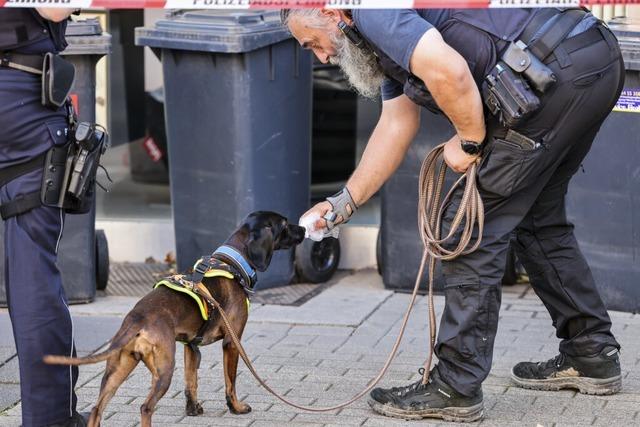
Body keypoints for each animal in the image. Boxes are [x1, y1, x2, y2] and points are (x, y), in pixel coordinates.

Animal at [43, 211, 306, 427]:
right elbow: (230, 382)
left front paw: (193, 409)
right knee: (145, 407)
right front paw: (236, 408)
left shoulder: (190, 348)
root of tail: (137, 319)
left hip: (118, 369)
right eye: (284, 224)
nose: (303, 229)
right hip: (163, 371)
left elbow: (191, 383)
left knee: (98, 409)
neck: (231, 262)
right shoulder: (232, 343)